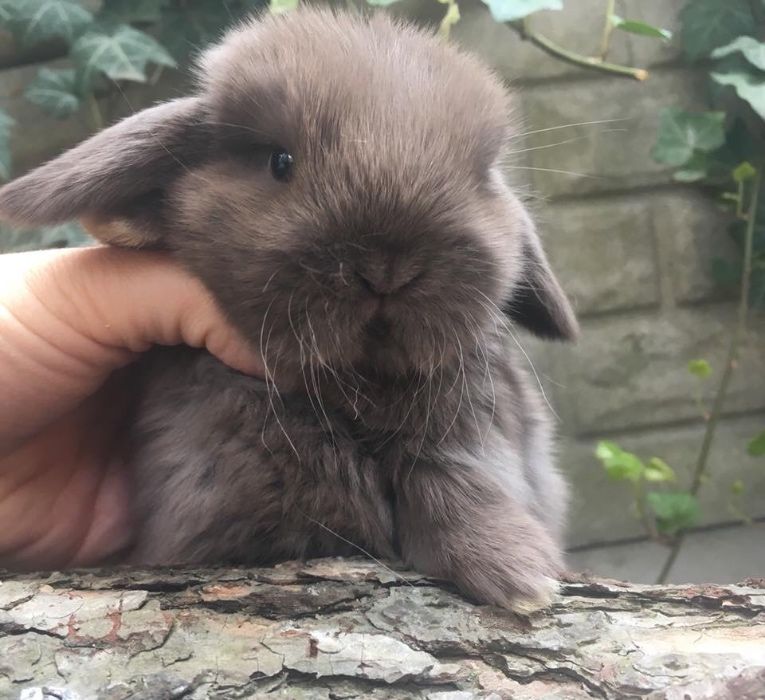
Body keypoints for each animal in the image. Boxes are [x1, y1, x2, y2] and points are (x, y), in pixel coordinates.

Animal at [0, 5, 576, 608]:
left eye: (481, 178)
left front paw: (517, 573)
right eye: (280, 162)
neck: (357, 384)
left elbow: (457, 478)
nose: (387, 268)